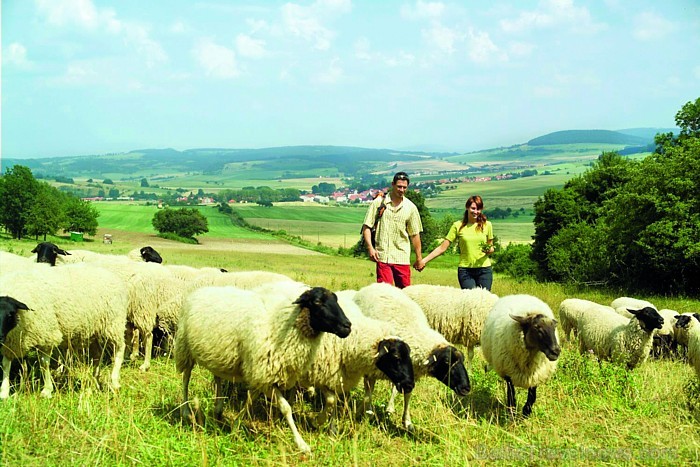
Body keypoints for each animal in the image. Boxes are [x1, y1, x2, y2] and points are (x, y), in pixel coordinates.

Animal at [0, 264, 129, 398]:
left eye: (10, 314)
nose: (0, 337)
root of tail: (112, 275)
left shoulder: (47, 334)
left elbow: (44, 363)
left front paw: (47, 390)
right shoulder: (10, 343)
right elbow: (5, 364)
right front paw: (4, 392)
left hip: (114, 323)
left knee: (120, 349)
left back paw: (114, 381)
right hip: (94, 331)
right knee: (97, 356)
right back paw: (93, 383)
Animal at [173, 282, 352, 454]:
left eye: (336, 299)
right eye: (317, 302)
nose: (347, 326)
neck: (285, 324)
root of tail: (200, 291)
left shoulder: (261, 373)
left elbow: (251, 399)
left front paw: (236, 425)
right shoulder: (264, 374)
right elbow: (286, 408)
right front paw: (302, 444)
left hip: (218, 355)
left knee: (217, 377)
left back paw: (218, 410)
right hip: (185, 348)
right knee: (185, 379)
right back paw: (186, 411)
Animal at [302, 290, 416, 434]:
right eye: (396, 356)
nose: (410, 385)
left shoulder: (336, 376)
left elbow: (333, 401)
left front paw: (331, 428)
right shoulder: (323, 373)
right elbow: (331, 400)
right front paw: (317, 421)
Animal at [350, 282, 470, 432]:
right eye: (447, 361)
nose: (466, 388)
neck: (414, 332)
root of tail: (377, 284)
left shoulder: (409, 375)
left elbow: (407, 395)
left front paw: (407, 422)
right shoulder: (371, 369)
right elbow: (368, 393)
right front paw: (366, 412)